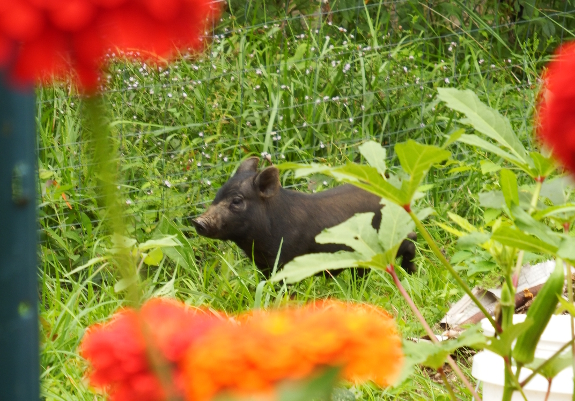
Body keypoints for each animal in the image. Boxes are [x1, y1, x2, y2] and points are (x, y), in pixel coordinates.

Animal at [191, 155, 416, 276]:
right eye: (218, 194)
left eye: (237, 201)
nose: (197, 222)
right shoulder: (263, 265)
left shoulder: (284, 260)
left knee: (410, 243)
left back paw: (410, 271)